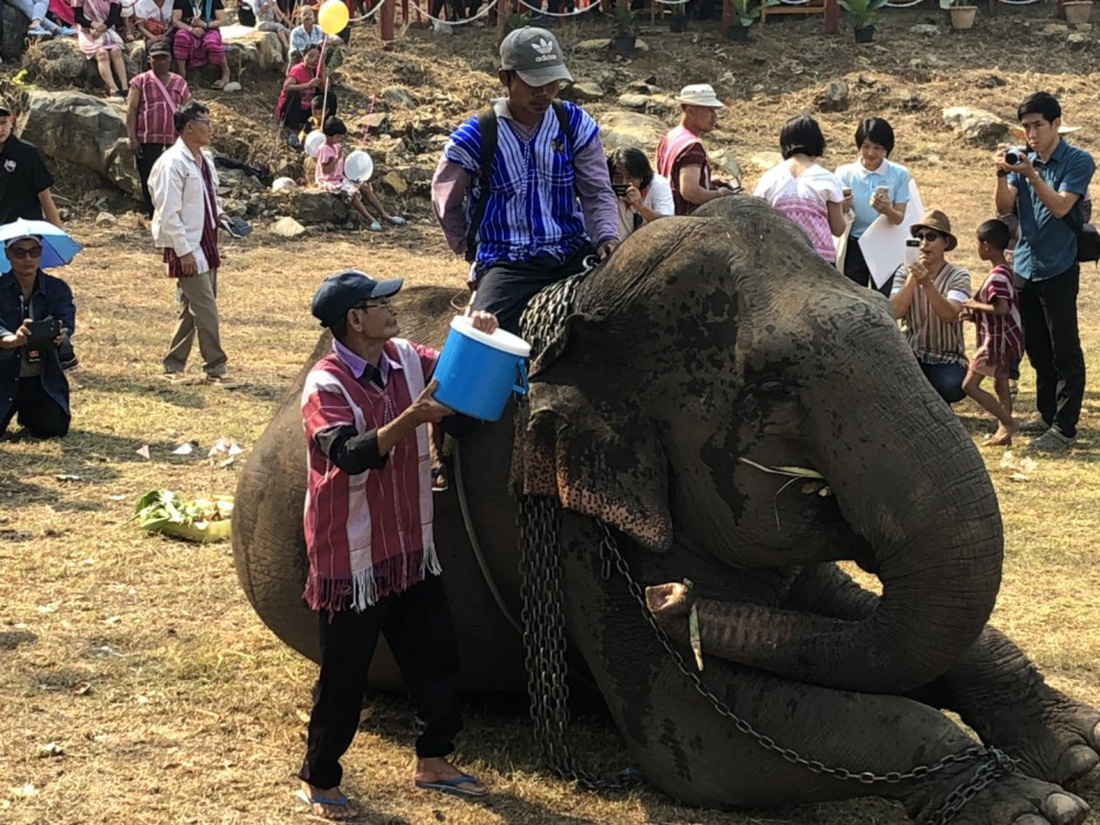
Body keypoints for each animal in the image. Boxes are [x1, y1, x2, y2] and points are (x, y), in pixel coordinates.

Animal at [232, 196, 1100, 822]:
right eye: (773, 384)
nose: (666, 598)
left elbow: (852, 624)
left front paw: (1083, 749)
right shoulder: (576, 527)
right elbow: (702, 739)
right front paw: (1029, 804)